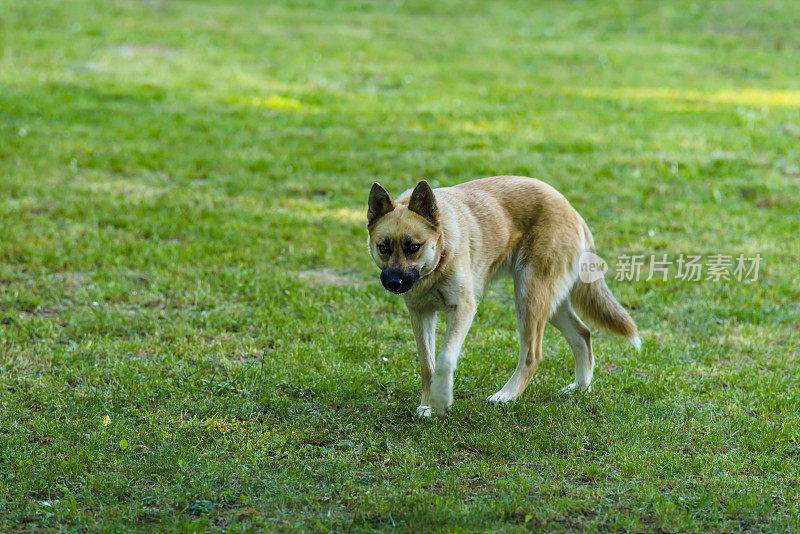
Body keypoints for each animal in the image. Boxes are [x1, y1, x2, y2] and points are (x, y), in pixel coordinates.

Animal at [368, 176, 636, 418]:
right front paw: (428, 404)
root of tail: (571, 209)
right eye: (383, 247)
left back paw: (507, 395)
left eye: (413, 247)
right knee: (583, 334)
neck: (437, 262)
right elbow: (427, 364)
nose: (393, 283)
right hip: (549, 301)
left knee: (533, 354)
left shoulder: (463, 309)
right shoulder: (420, 314)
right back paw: (580, 387)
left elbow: (445, 358)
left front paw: (442, 399)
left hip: (528, 296)